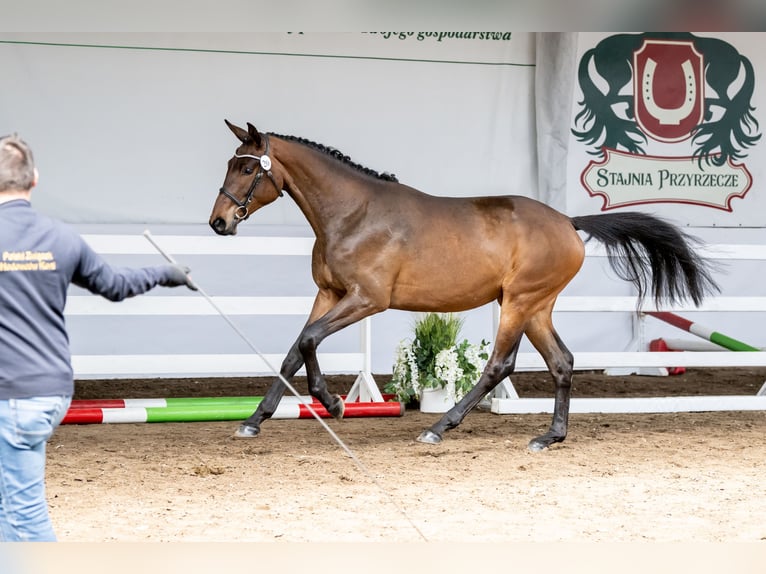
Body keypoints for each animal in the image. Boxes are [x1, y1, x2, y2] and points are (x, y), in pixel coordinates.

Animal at [207, 122, 716, 454]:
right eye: (231, 164)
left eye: (248, 170)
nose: (219, 222)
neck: (353, 214)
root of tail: (567, 222)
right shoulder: (329, 295)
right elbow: (294, 351)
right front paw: (253, 421)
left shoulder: (366, 300)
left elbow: (310, 341)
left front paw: (332, 403)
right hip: (536, 308)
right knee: (562, 362)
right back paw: (549, 437)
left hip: (520, 302)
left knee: (500, 365)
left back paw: (439, 427)